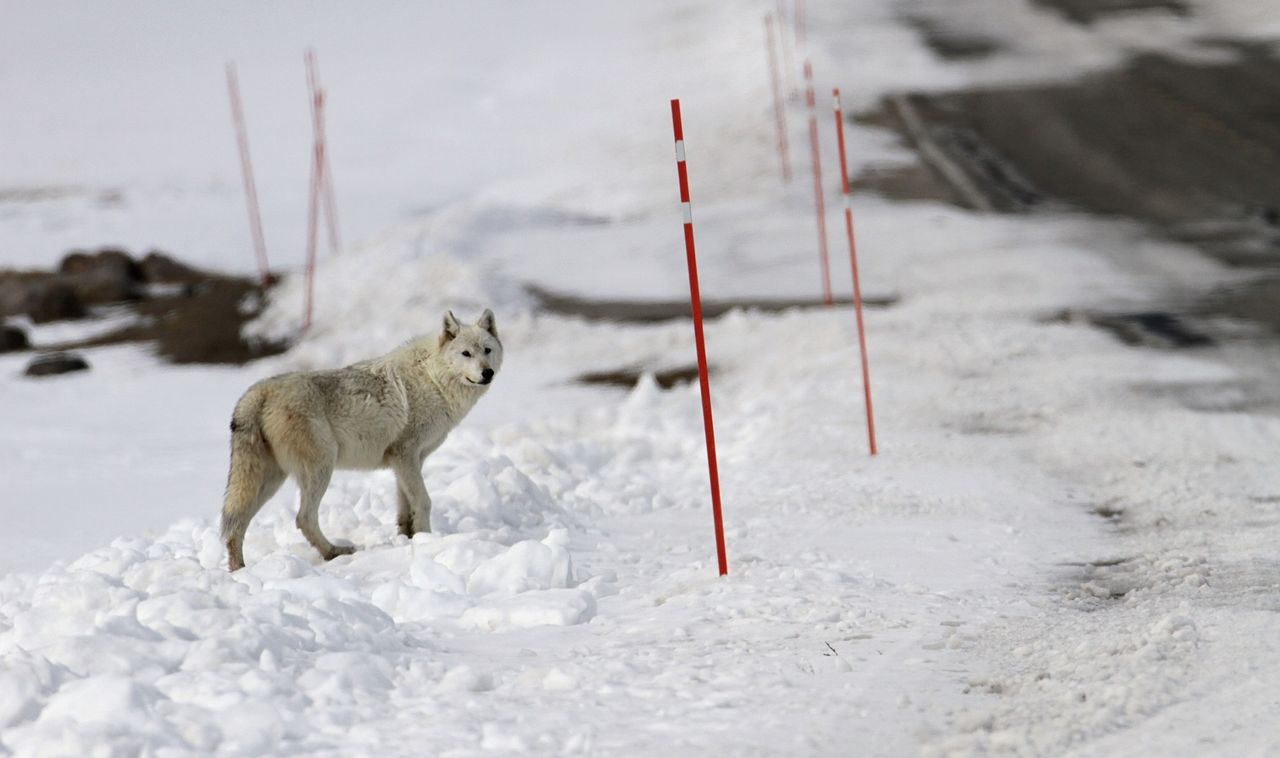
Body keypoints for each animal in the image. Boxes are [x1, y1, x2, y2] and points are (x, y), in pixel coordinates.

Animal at [220, 307, 499, 568]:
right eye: (466, 354)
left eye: (487, 350)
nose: (488, 373)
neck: (433, 379)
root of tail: (257, 392)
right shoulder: (406, 454)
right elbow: (423, 501)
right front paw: (426, 540)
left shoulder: (409, 460)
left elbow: (404, 508)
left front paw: (408, 539)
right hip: (321, 468)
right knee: (303, 518)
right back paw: (334, 552)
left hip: (269, 481)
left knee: (236, 524)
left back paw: (238, 570)